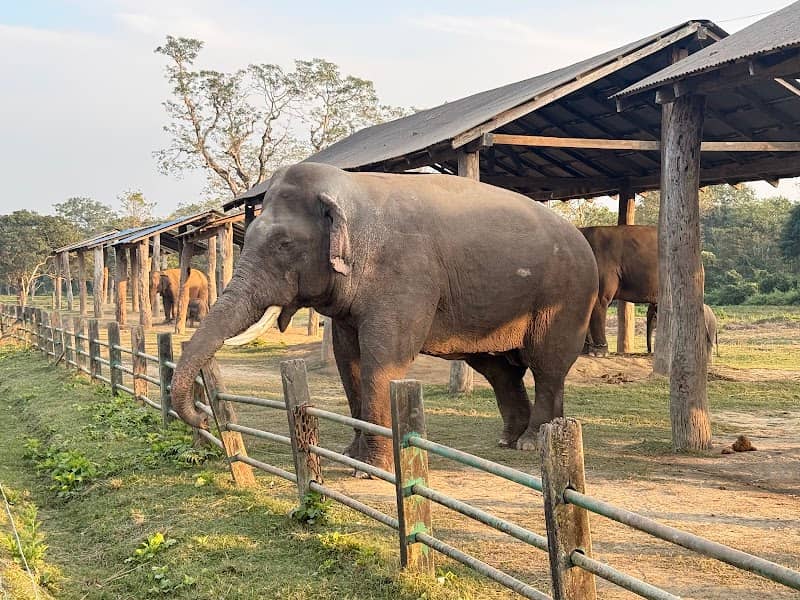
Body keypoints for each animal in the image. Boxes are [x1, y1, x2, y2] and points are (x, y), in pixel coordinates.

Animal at [170, 162, 598, 470]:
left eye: (284, 244)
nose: (205, 421)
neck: (350, 191)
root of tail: (582, 237)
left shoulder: (404, 276)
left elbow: (383, 360)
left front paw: (370, 468)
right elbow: (348, 359)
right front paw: (353, 456)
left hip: (567, 297)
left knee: (546, 365)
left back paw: (531, 441)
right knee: (500, 371)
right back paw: (514, 439)